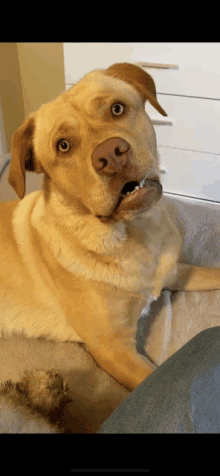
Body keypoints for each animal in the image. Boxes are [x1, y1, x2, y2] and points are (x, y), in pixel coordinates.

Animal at [0, 61, 220, 394]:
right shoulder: (113, 347)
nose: (110, 154)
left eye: (117, 109)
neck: (134, 234)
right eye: (63, 146)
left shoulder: (176, 272)